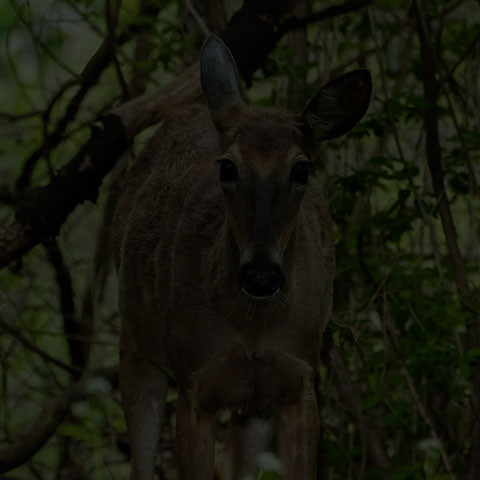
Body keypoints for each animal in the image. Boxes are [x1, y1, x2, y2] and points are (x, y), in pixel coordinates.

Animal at [112, 34, 372, 480]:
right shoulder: (193, 382)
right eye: (227, 167)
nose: (261, 274)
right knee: (141, 463)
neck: (251, 327)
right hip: (136, 343)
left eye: (301, 169)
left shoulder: (299, 381)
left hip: (254, 408)